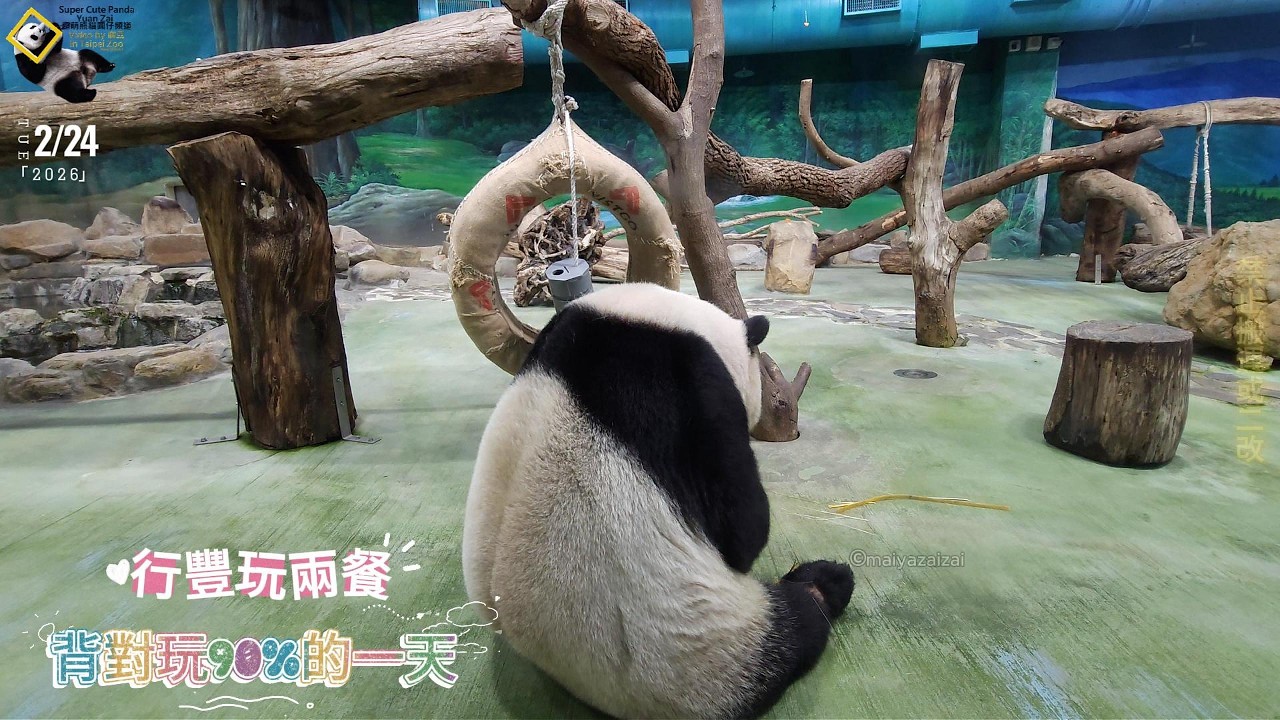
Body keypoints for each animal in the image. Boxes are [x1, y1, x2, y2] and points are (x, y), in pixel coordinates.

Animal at [463, 283, 855, 719]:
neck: (643, 316)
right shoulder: (695, 384)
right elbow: (739, 525)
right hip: (700, 657)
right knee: (796, 625)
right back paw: (823, 584)